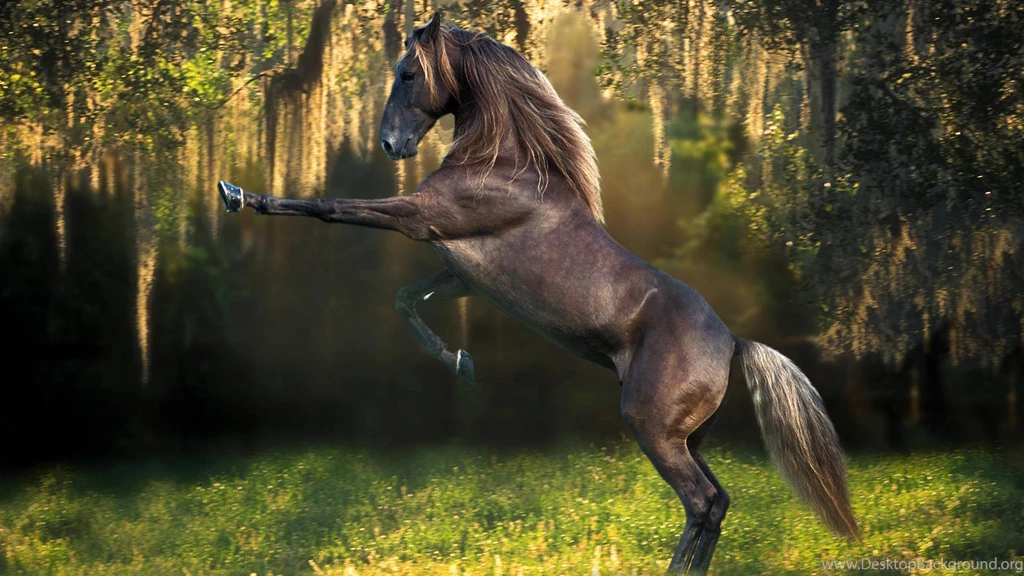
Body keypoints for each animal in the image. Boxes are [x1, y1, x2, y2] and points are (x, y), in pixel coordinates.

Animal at [217, 13, 858, 574]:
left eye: (408, 74)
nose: (390, 144)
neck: (502, 164)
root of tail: (733, 343)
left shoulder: (419, 219)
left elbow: (329, 207)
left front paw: (238, 195)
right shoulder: (460, 274)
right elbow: (406, 298)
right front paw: (461, 362)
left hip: (653, 428)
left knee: (701, 502)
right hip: (688, 436)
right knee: (718, 503)